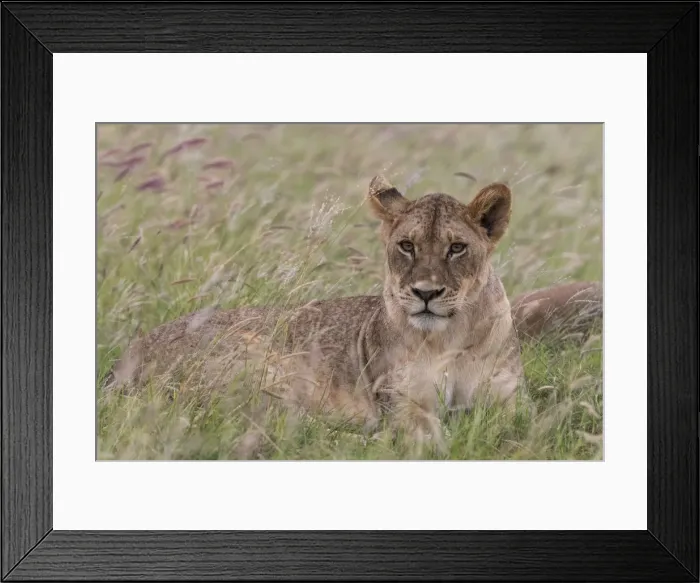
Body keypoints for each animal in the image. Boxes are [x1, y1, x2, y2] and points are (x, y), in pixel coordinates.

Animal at [105, 175, 602, 446]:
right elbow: (423, 432)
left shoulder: (510, 398)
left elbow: (531, 426)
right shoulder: (399, 398)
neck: (450, 336)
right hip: (266, 365)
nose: (425, 292)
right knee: (279, 424)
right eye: (406, 245)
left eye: (457, 248)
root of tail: (122, 362)